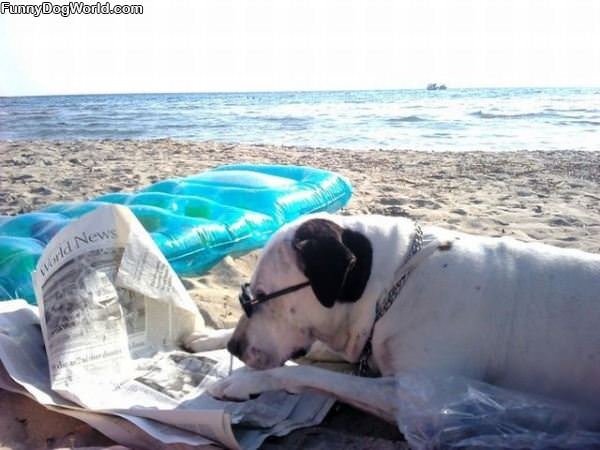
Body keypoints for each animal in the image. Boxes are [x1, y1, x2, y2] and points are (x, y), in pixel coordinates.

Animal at [185, 214, 600, 422]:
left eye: (259, 298)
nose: (236, 347)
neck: (393, 288)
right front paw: (208, 337)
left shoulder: (420, 399)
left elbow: (309, 375)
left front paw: (242, 382)